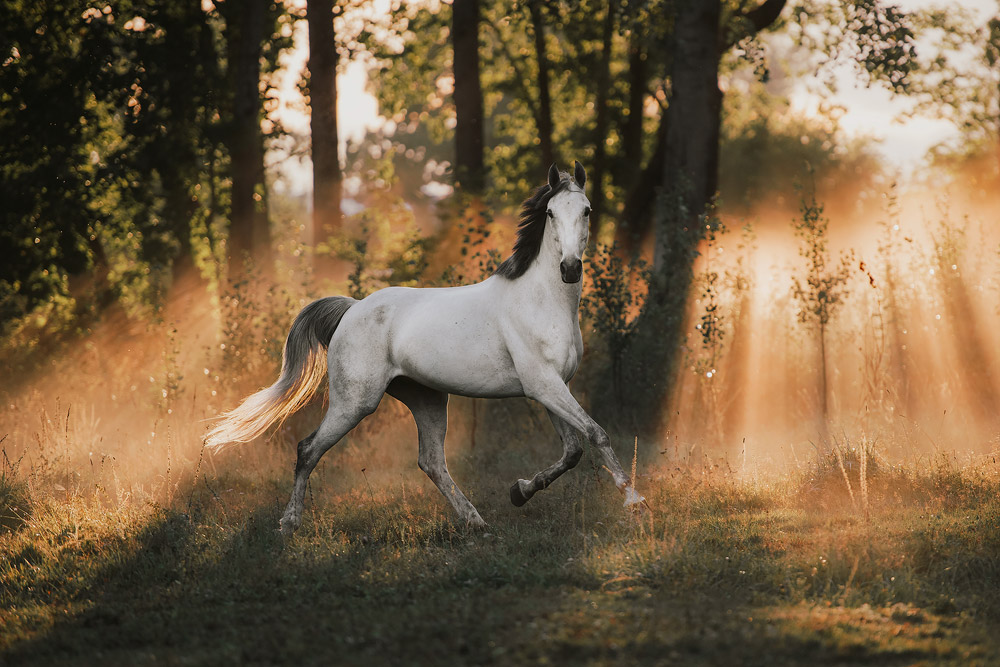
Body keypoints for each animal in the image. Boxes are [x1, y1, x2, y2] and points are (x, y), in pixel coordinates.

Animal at [206, 164, 644, 536]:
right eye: (551, 213)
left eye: (586, 210)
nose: (569, 268)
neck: (542, 301)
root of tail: (352, 308)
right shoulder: (544, 386)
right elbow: (597, 434)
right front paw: (634, 501)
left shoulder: (551, 388)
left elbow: (573, 450)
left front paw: (519, 491)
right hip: (355, 402)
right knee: (308, 449)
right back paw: (289, 524)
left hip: (427, 399)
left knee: (432, 462)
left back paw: (476, 522)